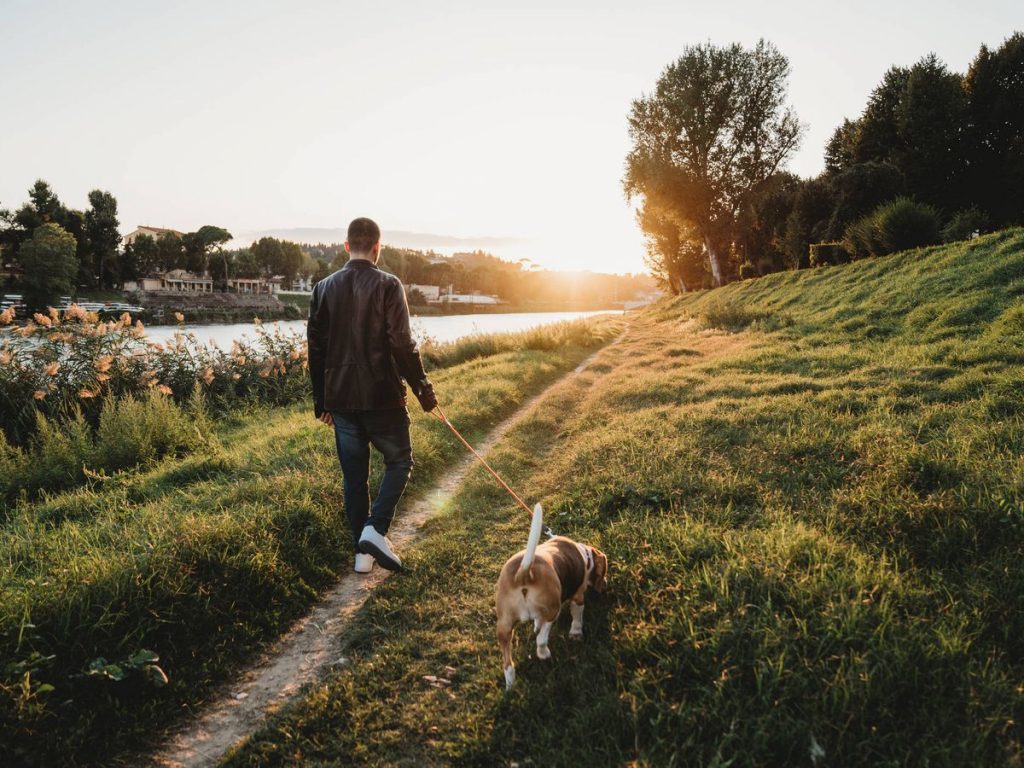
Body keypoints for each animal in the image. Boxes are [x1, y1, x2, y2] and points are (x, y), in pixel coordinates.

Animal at [495, 505, 606, 692]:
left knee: (508, 664)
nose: (604, 585)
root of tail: (524, 574)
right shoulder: (578, 597)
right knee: (541, 639)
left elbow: (537, 624)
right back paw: (544, 653)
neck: (584, 555)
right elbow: (577, 617)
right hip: (553, 609)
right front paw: (576, 633)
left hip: (504, 626)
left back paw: (510, 688)